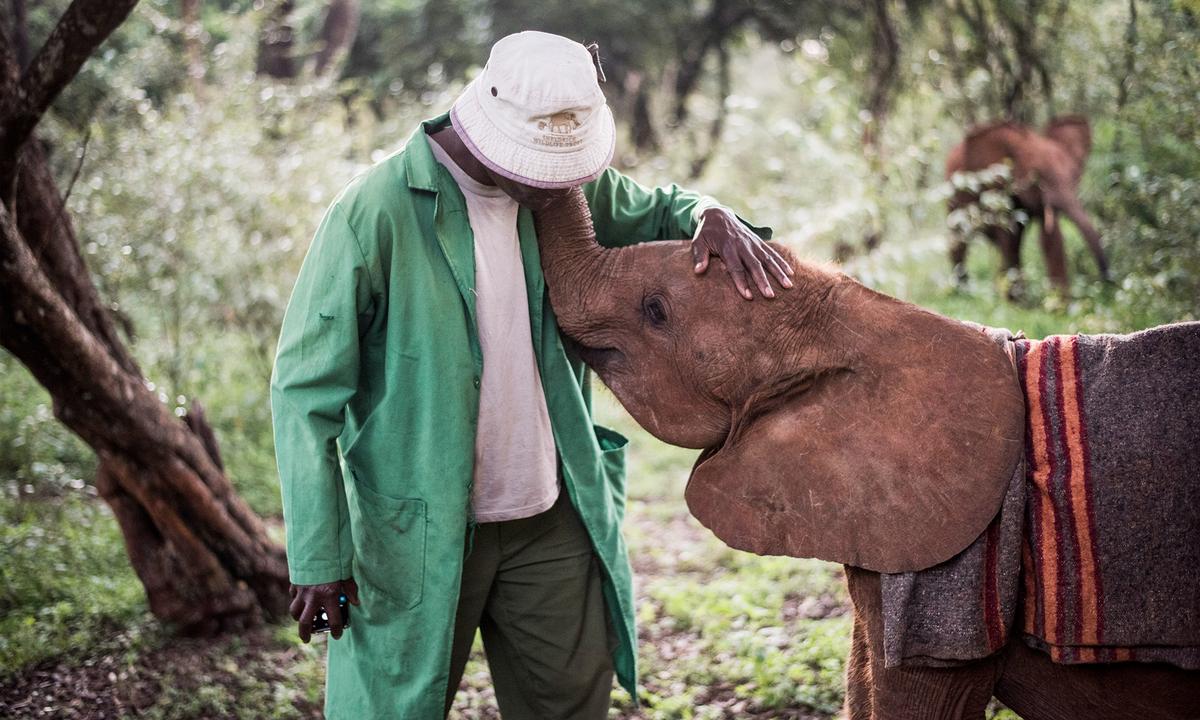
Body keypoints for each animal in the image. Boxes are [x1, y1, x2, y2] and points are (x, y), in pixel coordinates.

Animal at [945, 115, 1110, 298]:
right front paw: (1018, 301)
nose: (1106, 281)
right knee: (959, 239)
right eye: (1037, 178)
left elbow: (1050, 238)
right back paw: (962, 292)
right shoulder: (998, 189)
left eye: (1074, 175)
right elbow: (1009, 237)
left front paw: (1059, 303)